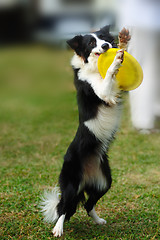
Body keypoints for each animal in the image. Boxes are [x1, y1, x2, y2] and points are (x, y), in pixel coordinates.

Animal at [40, 25, 124, 236]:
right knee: (64, 208)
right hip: (71, 184)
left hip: (104, 181)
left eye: (103, 38)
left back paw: (98, 220)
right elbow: (108, 76)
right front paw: (117, 59)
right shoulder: (100, 90)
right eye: (91, 43)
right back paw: (58, 229)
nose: (106, 46)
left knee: (87, 205)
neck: (93, 65)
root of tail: (87, 178)